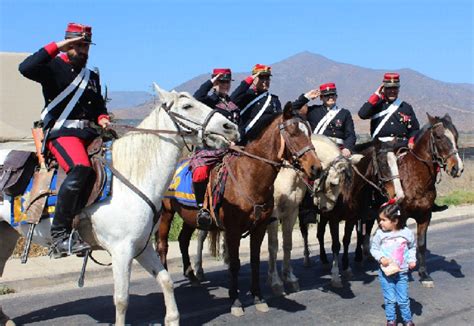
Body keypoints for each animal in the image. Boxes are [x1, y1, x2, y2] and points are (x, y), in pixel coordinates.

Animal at [0, 84, 237, 326]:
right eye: (187, 106)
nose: (230, 127)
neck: (132, 177)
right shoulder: (121, 250)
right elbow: (122, 299)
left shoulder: (142, 246)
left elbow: (165, 280)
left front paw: (172, 318)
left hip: (6, 236)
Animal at [156, 102, 322, 316]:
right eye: (293, 132)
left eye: (308, 132)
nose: (316, 168)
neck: (249, 176)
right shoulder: (233, 230)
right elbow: (235, 264)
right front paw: (235, 301)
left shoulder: (259, 227)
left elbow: (255, 260)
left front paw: (258, 297)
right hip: (166, 214)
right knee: (162, 245)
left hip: (189, 217)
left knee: (184, 239)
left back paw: (192, 275)